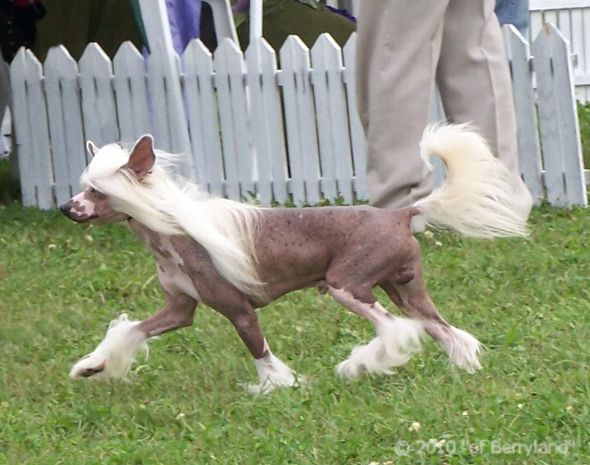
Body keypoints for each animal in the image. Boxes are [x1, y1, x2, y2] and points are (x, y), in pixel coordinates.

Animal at [62, 125, 528, 394]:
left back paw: (359, 365)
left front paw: (278, 386)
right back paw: (463, 368)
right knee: (443, 330)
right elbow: (132, 331)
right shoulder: (179, 309)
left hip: (348, 284)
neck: (171, 233)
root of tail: (399, 213)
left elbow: (260, 354)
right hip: (405, 287)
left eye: (98, 192)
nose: (68, 208)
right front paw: (92, 366)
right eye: (83, 187)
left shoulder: (238, 309)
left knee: (395, 329)